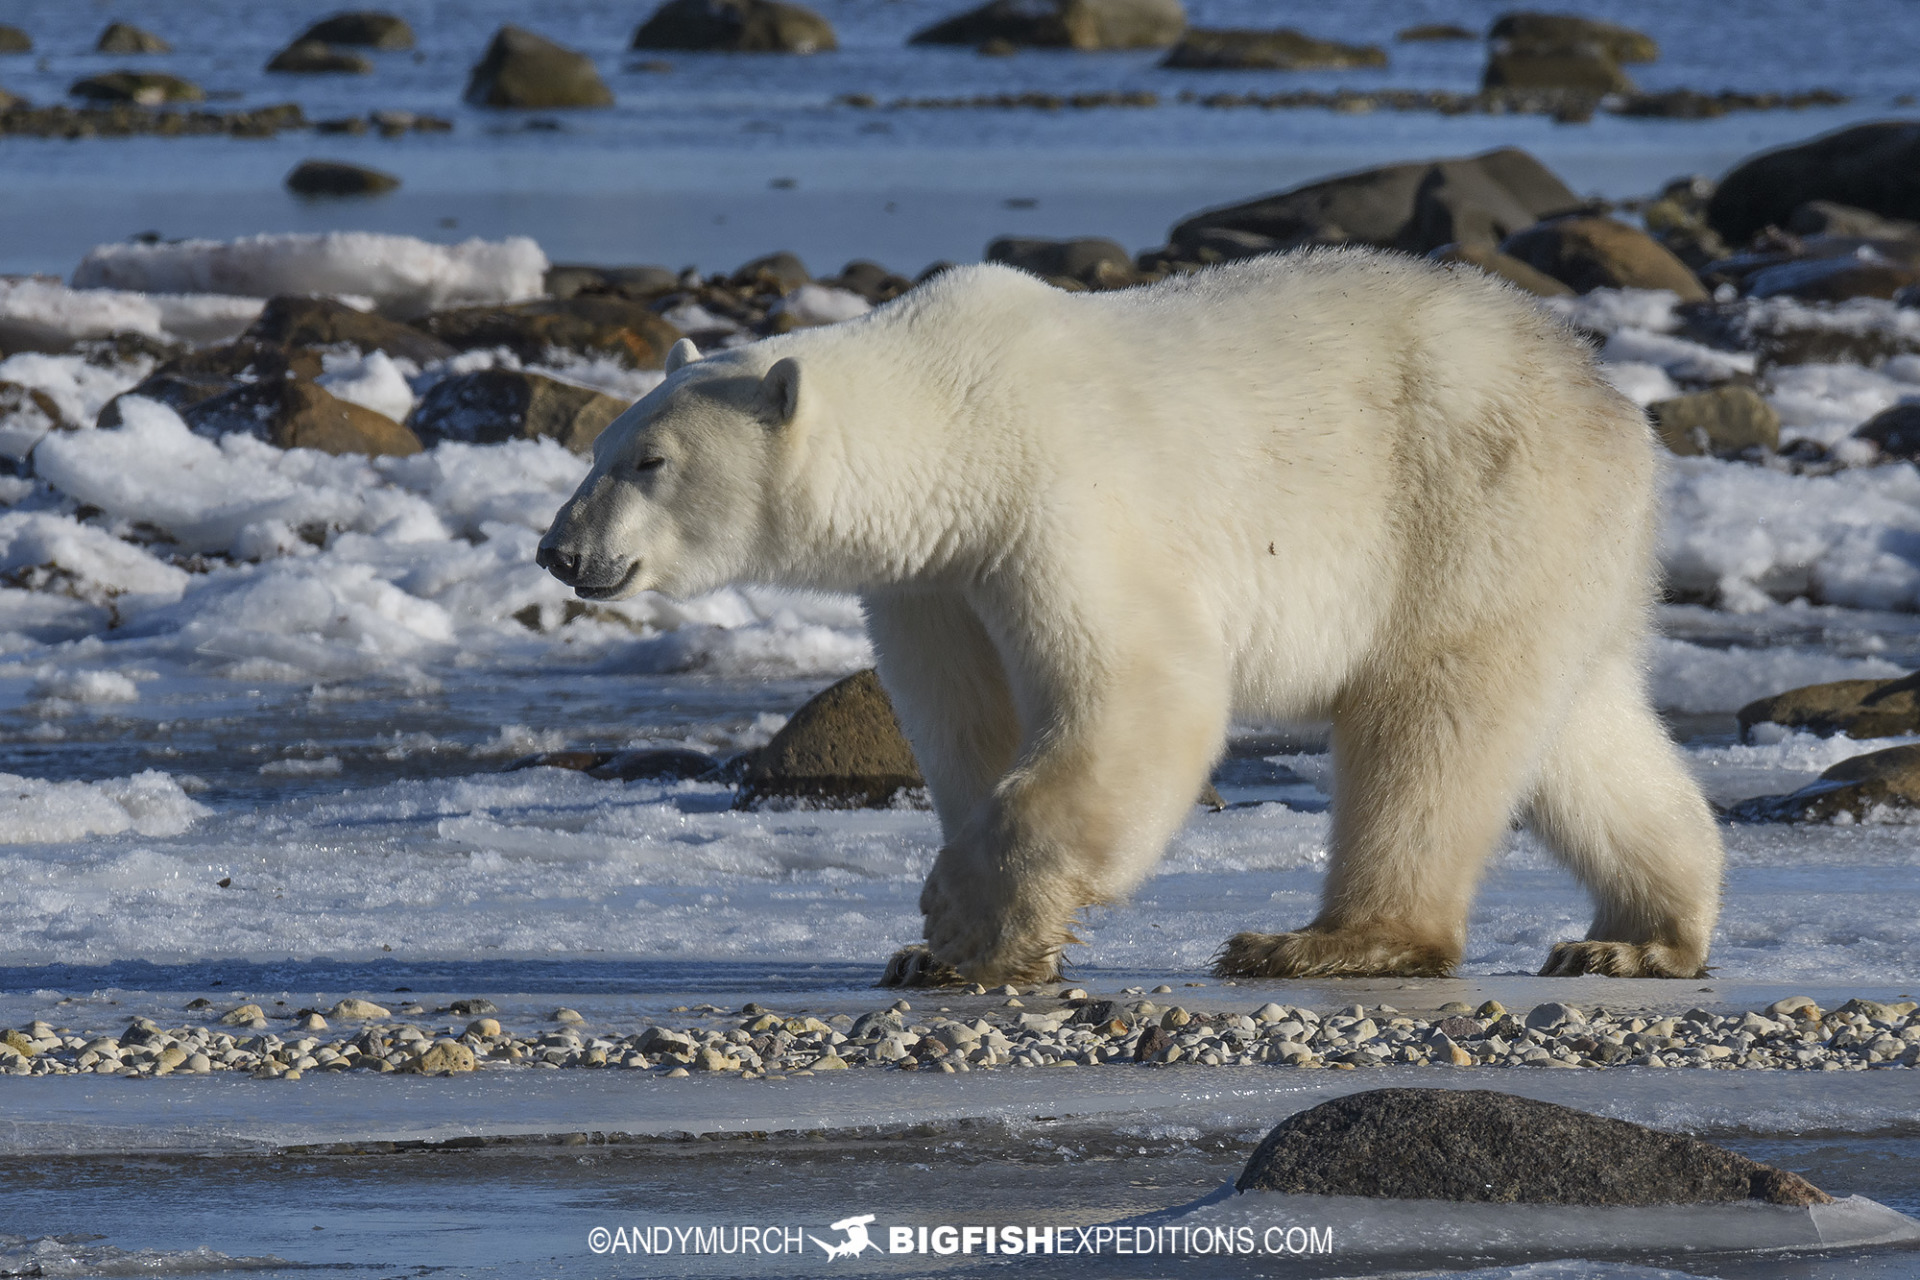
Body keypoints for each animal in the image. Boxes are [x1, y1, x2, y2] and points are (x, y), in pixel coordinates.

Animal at [538, 249, 1724, 986]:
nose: (561, 551)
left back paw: (1328, 940)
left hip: (1469, 504)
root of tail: (1609, 403)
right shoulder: (936, 576)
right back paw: (1638, 937)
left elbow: (1146, 694)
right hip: (1549, 550)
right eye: (600, 449)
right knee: (1573, 726)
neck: (956, 418)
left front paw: (958, 918)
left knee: (1429, 722)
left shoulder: (1060, 503)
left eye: (650, 461)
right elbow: (967, 722)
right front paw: (953, 948)